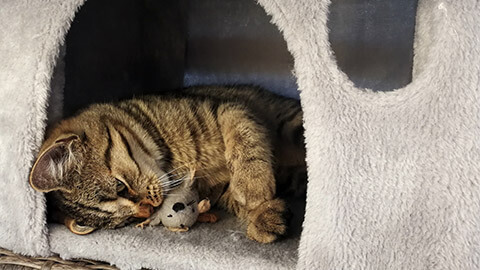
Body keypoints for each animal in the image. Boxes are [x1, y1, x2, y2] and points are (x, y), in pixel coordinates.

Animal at [29, 85, 304, 244]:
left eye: (120, 186)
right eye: (126, 221)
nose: (149, 208)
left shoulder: (227, 108)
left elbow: (244, 136)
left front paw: (253, 186)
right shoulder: (217, 189)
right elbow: (235, 199)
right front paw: (264, 215)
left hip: (292, 122)